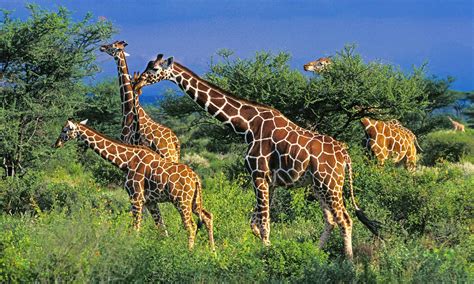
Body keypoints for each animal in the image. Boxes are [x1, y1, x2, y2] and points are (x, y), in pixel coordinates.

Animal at [52, 120, 214, 251]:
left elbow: (136, 228)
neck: (126, 161)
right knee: (207, 217)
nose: (56, 144)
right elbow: (162, 229)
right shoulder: (150, 201)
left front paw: (133, 250)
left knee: (191, 226)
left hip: (181, 201)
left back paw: (190, 252)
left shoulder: (136, 198)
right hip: (194, 201)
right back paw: (213, 252)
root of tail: (196, 178)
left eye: (65, 130)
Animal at [132, 53, 382, 260]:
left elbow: (263, 224)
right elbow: (256, 222)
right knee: (331, 220)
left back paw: (348, 261)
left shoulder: (258, 174)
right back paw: (315, 253)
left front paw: (266, 254)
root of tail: (345, 155)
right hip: (318, 185)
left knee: (345, 220)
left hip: (330, 184)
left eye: (154, 68)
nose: (138, 82)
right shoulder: (270, 181)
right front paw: (268, 248)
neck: (247, 126)